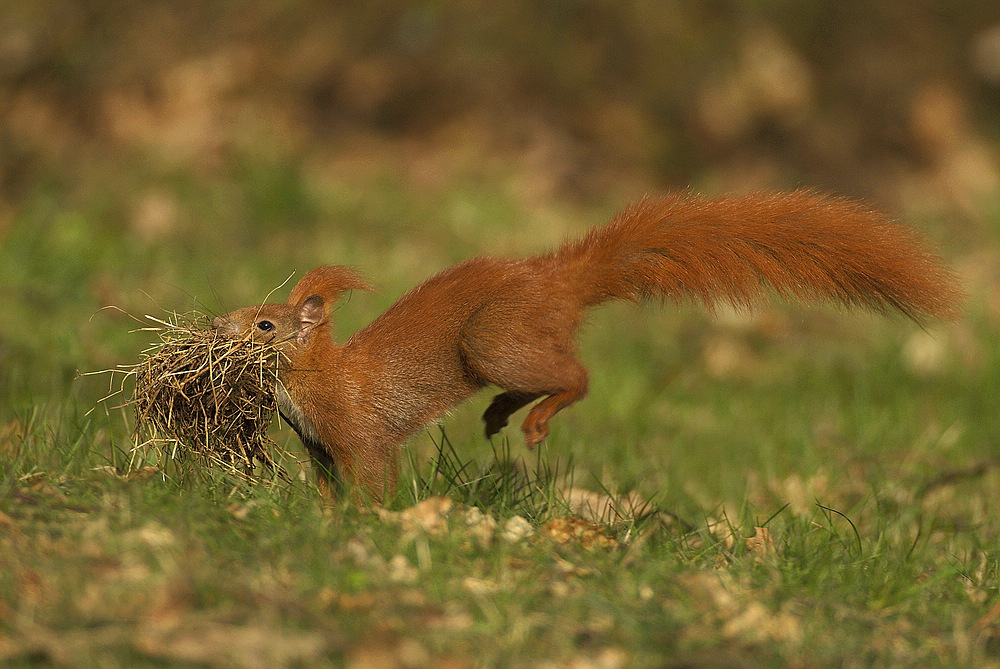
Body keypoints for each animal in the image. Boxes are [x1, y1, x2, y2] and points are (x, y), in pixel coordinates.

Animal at [209, 190, 960, 498]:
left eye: (265, 324)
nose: (218, 327)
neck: (311, 379)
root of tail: (556, 278)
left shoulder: (357, 430)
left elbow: (372, 476)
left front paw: (371, 518)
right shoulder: (314, 442)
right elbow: (324, 482)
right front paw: (320, 514)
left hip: (493, 336)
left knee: (578, 375)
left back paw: (533, 417)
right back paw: (501, 413)